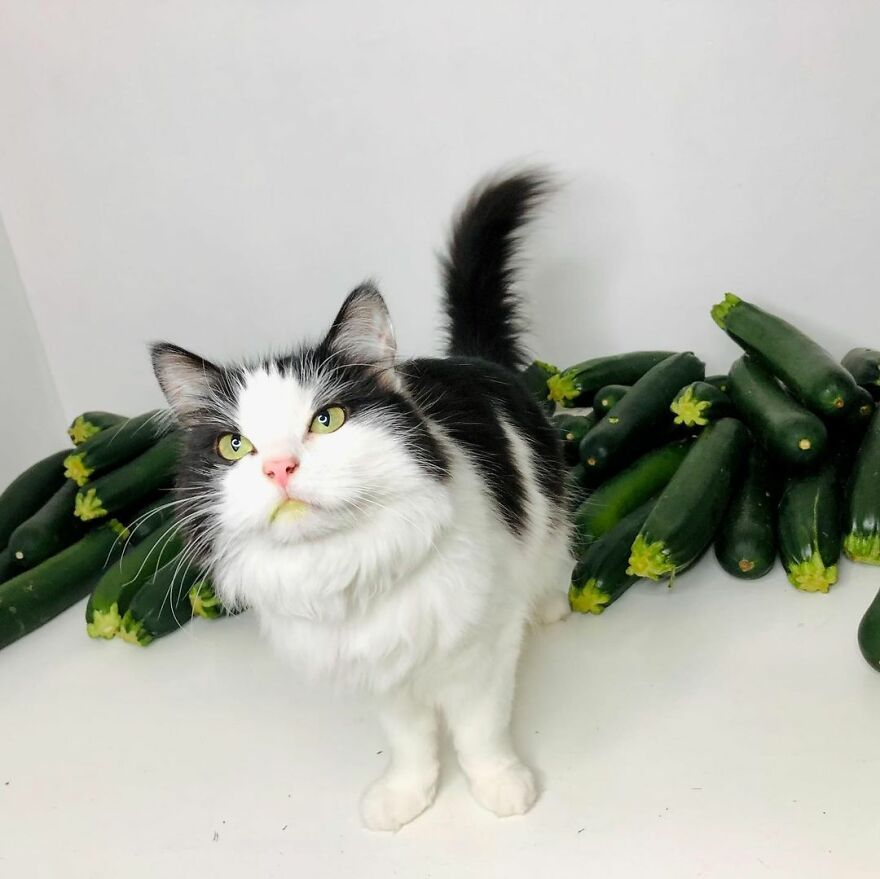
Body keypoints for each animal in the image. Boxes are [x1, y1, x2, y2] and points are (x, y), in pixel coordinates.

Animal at [151, 170, 576, 832]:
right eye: (234, 445)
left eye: (326, 420)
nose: (278, 467)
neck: (343, 564)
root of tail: (469, 357)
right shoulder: (381, 674)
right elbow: (411, 743)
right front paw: (406, 796)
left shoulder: (482, 650)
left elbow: (479, 731)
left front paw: (500, 787)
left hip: (549, 517)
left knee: (556, 559)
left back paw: (552, 607)